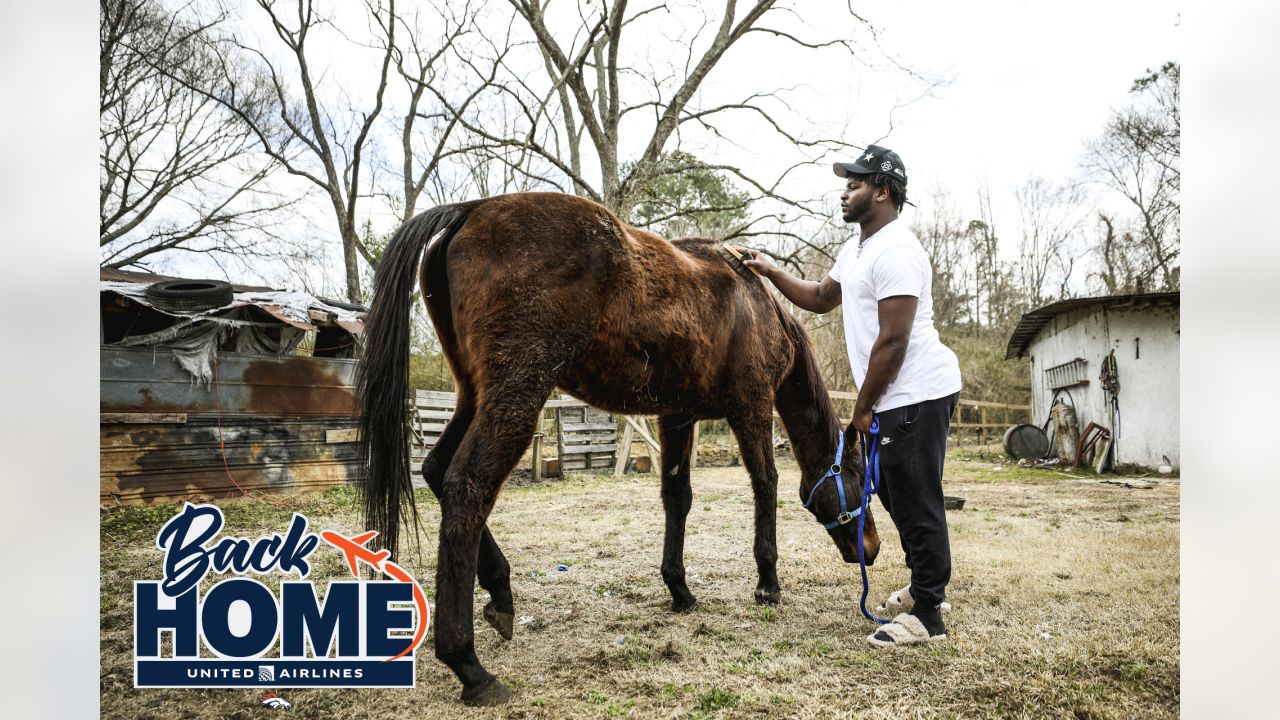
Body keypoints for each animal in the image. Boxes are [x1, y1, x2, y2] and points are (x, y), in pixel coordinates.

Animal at [360, 189, 880, 702]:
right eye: (862, 483)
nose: (871, 548)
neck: (758, 307)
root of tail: (472, 210)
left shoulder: (677, 418)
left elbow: (678, 498)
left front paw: (679, 589)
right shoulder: (750, 408)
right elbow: (766, 485)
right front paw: (768, 584)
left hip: (474, 392)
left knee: (435, 470)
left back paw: (501, 594)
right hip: (516, 396)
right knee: (467, 485)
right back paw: (470, 666)